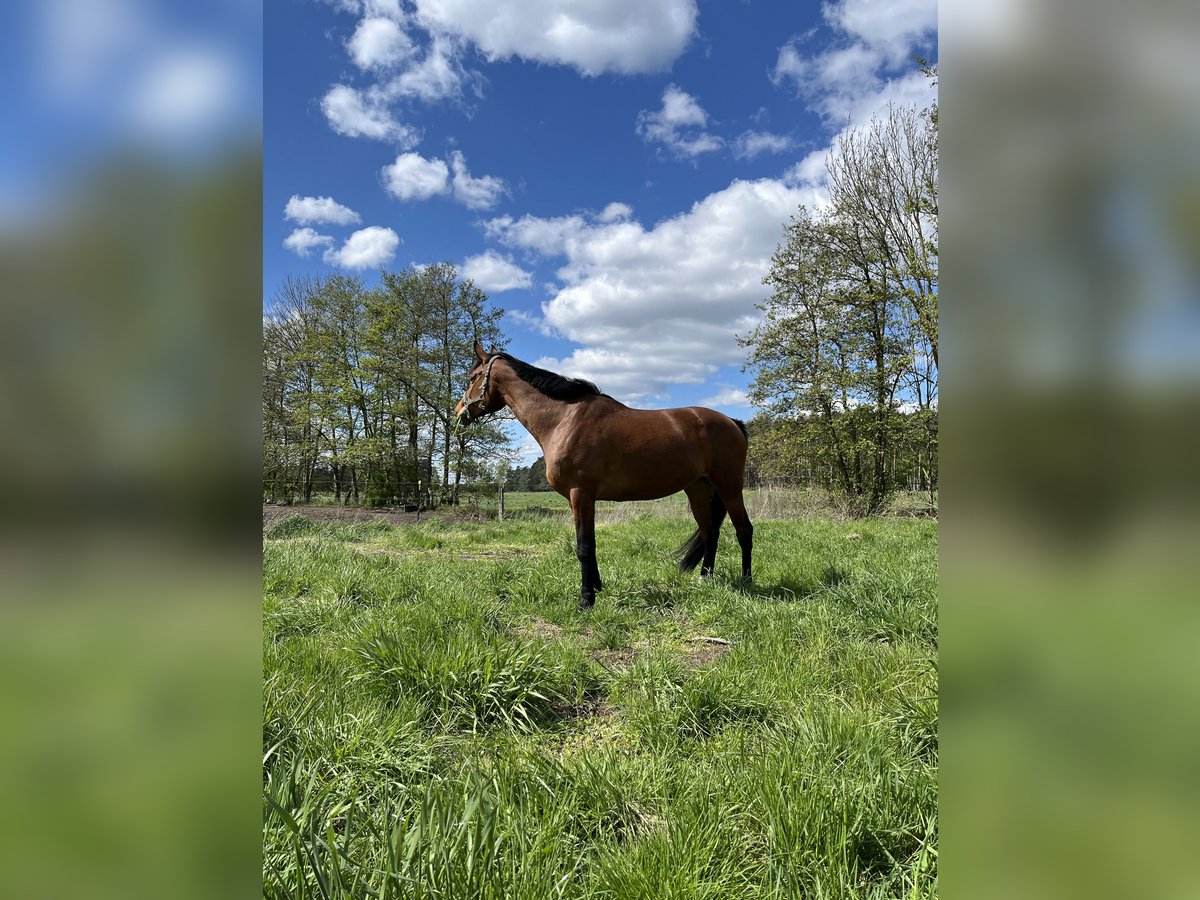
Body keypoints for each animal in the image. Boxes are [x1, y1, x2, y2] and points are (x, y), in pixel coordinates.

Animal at [451, 345, 748, 614]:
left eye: (472, 377)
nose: (458, 411)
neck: (564, 420)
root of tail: (732, 421)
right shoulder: (578, 499)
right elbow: (589, 544)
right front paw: (596, 587)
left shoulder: (580, 493)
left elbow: (584, 546)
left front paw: (586, 600)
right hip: (698, 490)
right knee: (710, 533)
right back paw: (705, 578)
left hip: (730, 488)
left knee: (744, 530)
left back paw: (747, 581)